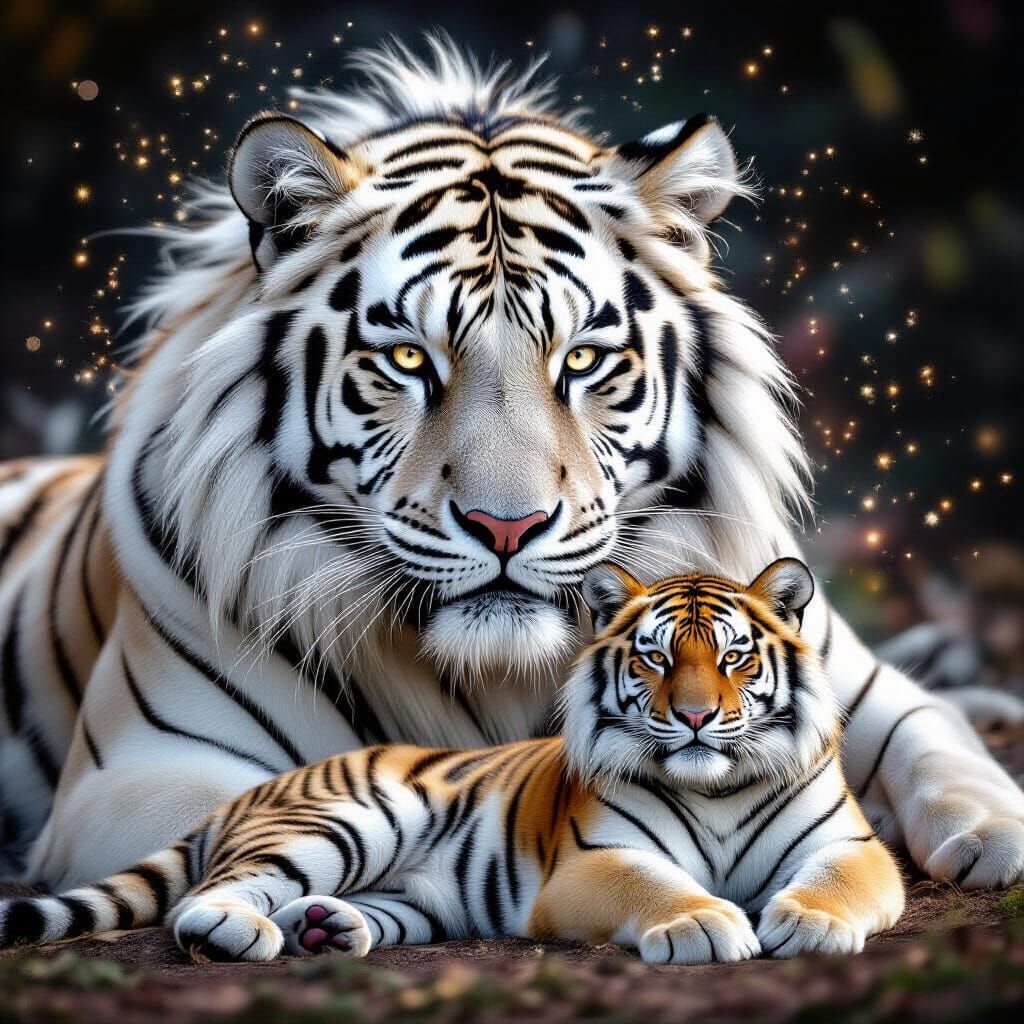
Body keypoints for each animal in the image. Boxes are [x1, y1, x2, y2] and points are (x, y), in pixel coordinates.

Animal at [0, 37, 1022, 893]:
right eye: (407, 358)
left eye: (584, 359)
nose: (507, 527)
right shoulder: (136, 775)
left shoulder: (851, 678)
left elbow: (938, 741)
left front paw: (993, 832)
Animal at [0, 560, 904, 965]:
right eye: (653, 658)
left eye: (733, 658)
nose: (692, 717)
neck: (714, 789)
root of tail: (254, 792)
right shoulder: (597, 859)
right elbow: (656, 884)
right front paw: (704, 923)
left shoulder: (851, 846)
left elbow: (838, 881)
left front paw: (811, 923)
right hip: (344, 823)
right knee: (207, 897)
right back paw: (240, 930)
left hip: (416, 896)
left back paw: (329, 929)